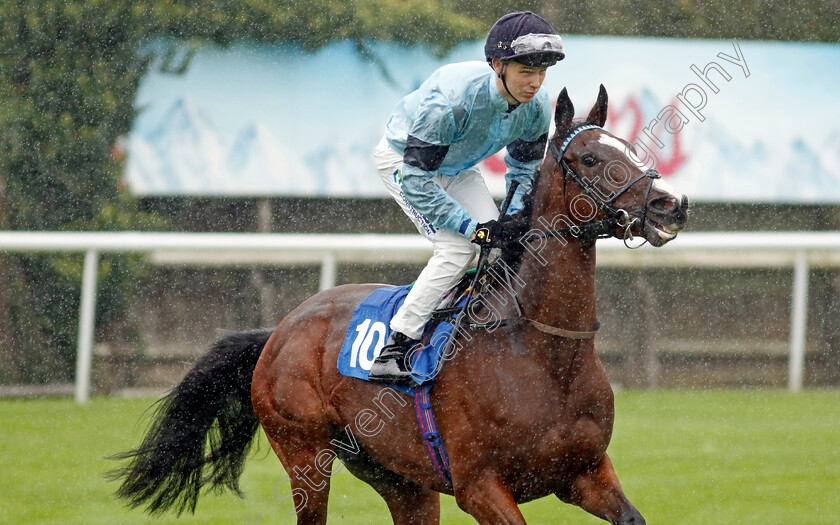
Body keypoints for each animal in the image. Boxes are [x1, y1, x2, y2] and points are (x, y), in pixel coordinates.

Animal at [110, 84, 688, 520]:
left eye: (632, 148)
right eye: (589, 158)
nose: (670, 205)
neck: (544, 352)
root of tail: (279, 329)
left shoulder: (585, 473)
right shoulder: (480, 486)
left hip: (399, 478)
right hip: (304, 455)